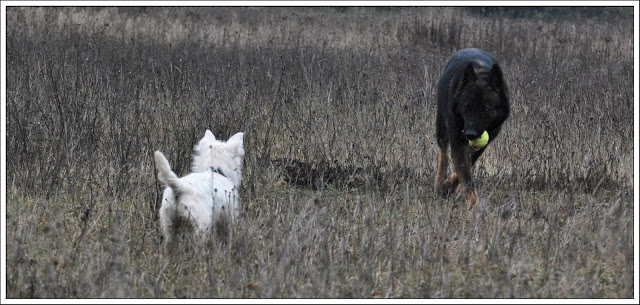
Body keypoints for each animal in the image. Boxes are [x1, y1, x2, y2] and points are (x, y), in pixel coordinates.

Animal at [436, 48, 510, 209]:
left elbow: (467, 167)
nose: (470, 134)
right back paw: (439, 182)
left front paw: (451, 187)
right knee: (443, 155)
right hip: (441, 128)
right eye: (466, 107)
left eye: (486, 109)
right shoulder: (458, 142)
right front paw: (471, 204)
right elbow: (466, 176)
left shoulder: (483, 145)